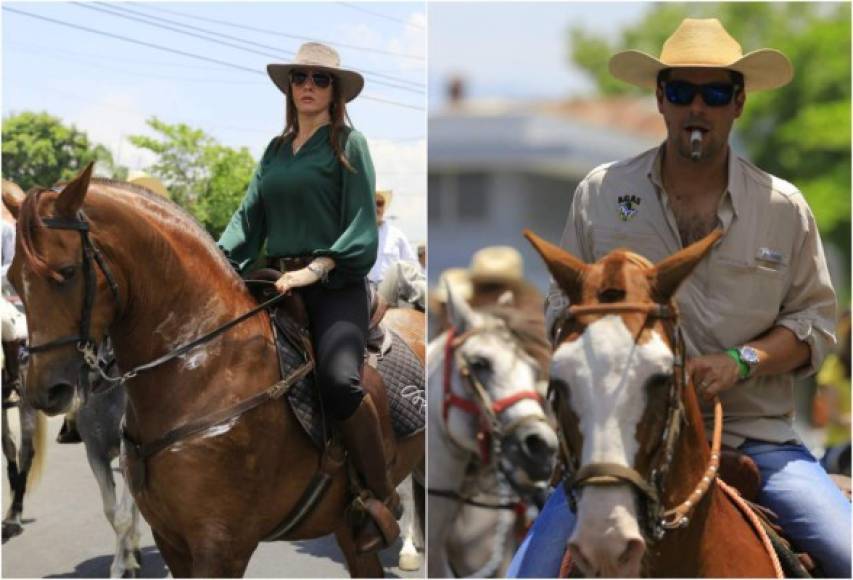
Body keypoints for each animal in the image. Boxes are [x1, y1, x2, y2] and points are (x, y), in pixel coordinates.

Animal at [2, 163, 422, 576]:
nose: (44, 390)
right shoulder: (172, 540)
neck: (206, 368)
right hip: (346, 525)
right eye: (13, 278)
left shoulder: (222, 548)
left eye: (67, 272)